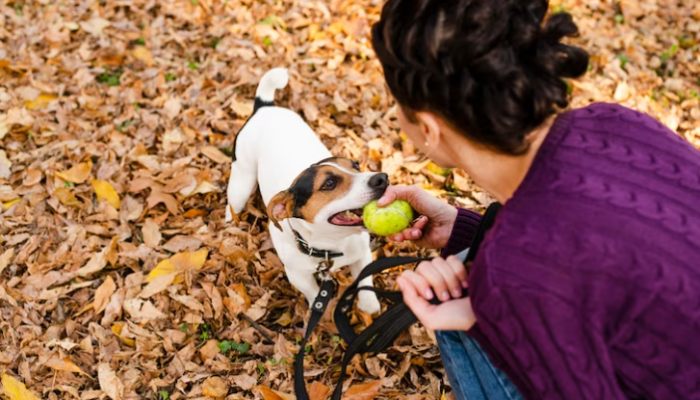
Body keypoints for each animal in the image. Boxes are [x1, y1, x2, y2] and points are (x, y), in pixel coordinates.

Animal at [226, 67, 386, 314]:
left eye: (356, 165)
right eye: (328, 184)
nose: (382, 179)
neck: (329, 247)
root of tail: (264, 108)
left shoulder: (362, 254)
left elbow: (364, 281)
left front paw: (369, 307)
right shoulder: (297, 275)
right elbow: (313, 293)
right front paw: (323, 312)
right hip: (241, 183)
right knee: (232, 203)